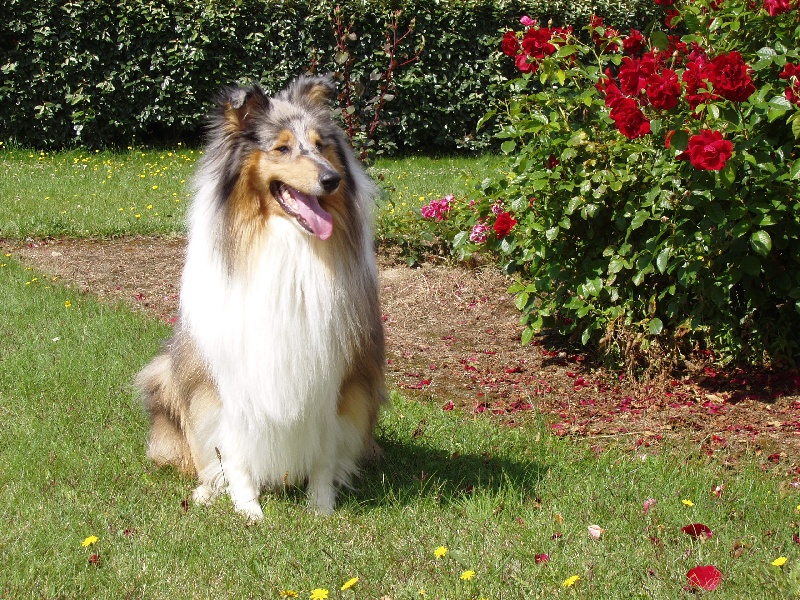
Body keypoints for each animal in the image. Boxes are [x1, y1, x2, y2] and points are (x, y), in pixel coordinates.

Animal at [135, 75, 387, 518]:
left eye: (321, 145)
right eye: (282, 148)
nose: (331, 180)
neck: (287, 242)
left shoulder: (335, 375)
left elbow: (324, 453)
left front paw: (321, 508)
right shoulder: (229, 376)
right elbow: (233, 450)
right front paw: (248, 509)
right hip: (167, 374)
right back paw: (206, 491)